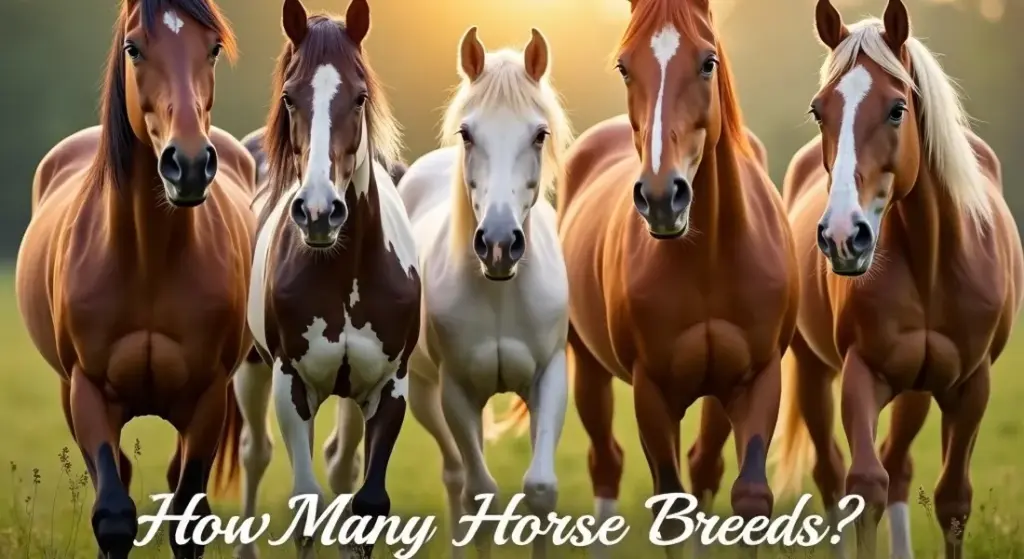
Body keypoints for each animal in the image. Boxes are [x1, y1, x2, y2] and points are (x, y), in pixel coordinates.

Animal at [14, 0, 256, 557]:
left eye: (213, 48)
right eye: (134, 48)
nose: (188, 163)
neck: (148, 258)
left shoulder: (207, 397)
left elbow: (188, 519)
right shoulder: (88, 392)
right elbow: (114, 516)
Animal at [224, 0, 420, 557]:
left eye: (360, 96)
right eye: (290, 96)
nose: (317, 213)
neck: (347, 274)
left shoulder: (389, 389)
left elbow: (368, 504)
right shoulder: (291, 384)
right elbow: (305, 505)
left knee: (339, 464)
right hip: (252, 370)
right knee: (255, 452)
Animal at [397, 26, 573, 559]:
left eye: (539, 134)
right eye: (467, 134)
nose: (498, 243)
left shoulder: (549, 377)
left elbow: (540, 489)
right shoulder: (457, 390)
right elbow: (480, 495)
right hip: (425, 395)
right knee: (457, 478)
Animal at [541, 0, 800, 555]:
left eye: (708, 62)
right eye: (624, 67)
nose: (662, 198)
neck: (709, 259)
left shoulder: (757, 378)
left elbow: (748, 497)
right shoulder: (652, 391)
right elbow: (671, 507)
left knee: (704, 468)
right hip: (588, 369)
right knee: (607, 464)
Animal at [770, 1, 1023, 557]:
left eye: (896, 109)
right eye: (819, 111)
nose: (844, 235)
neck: (933, 260)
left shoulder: (971, 386)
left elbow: (953, 500)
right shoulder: (862, 373)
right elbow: (865, 486)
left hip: (917, 391)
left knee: (900, 465)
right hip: (814, 372)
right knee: (832, 474)